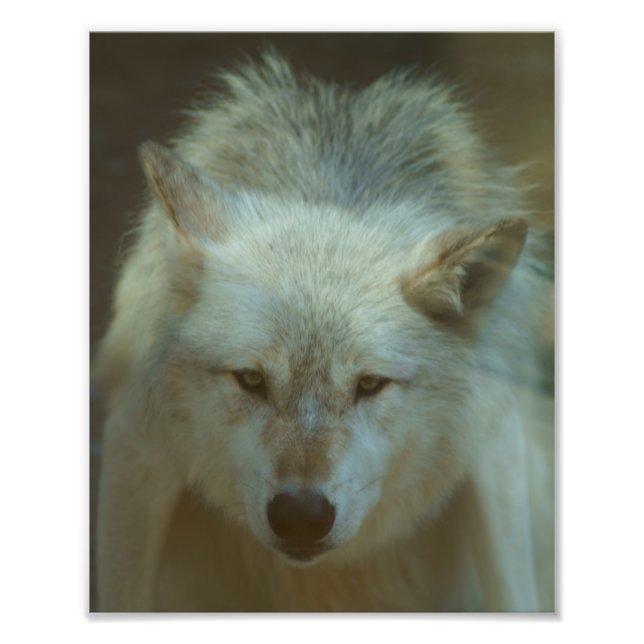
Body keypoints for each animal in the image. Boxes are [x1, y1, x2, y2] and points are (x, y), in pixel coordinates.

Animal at [94, 51, 554, 612]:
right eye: (250, 379)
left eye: (370, 384)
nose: (301, 516)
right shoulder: (138, 447)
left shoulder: (496, 451)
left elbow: (515, 596)